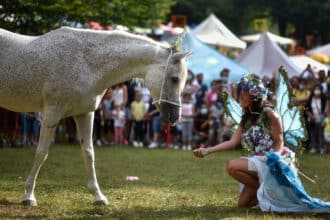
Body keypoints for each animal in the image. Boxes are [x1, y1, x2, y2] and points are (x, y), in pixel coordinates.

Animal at [0, 27, 189, 206]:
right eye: (174, 79)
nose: (175, 117)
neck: (85, 62)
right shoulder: (51, 114)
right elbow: (41, 153)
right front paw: (29, 196)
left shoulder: (84, 114)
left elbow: (89, 153)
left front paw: (98, 196)